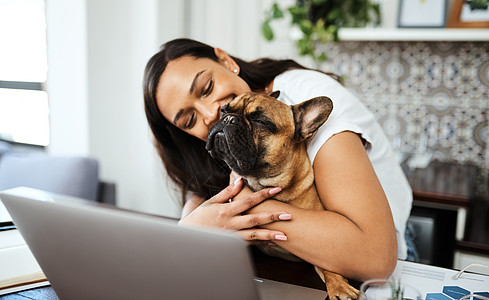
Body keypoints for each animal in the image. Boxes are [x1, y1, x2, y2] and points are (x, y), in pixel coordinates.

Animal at [205, 92, 358, 300]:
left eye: (260, 121)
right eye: (224, 110)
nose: (228, 119)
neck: (265, 184)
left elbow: (329, 264)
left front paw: (339, 286)